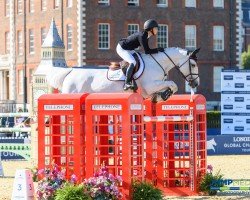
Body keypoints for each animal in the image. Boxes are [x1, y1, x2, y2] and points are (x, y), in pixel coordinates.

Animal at [45, 47, 201, 101]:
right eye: (193, 65)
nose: (195, 83)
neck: (157, 62)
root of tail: (71, 71)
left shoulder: (150, 89)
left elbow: (170, 86)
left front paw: (160, 96)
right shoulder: (150, 85)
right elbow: (173, 84)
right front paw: (165, 95)